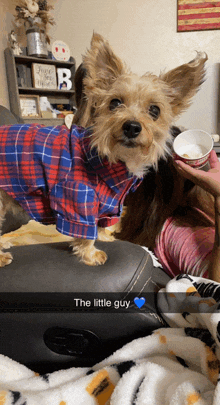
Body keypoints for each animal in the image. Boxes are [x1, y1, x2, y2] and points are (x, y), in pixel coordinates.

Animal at [0, 34, 208, 266]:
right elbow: (84, 229)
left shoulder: (107, 202)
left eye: (155, 110)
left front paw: (103, 238)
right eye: (115, 103)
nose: (132, 127)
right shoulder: (77, 196)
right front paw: (90, 254)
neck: (112, 159)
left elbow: (100, 224)